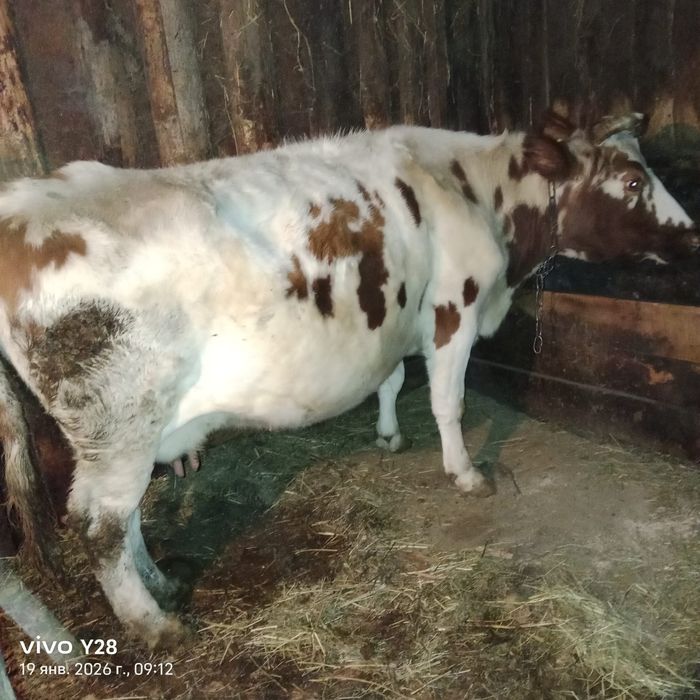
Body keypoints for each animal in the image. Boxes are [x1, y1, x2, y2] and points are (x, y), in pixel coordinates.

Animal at [0, 110, 696, 649]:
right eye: (633, 178)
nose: (691, 236)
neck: (474, 190)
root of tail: (21, 207)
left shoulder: (397, 323)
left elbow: (390, 380)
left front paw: (388, 434)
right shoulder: (455, 308)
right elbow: (447, 401)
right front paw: (465, 472)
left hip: (126, 432)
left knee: (125, 519)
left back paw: (163, 583)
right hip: (118, 419)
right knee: (99, 524)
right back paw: (153, 624)